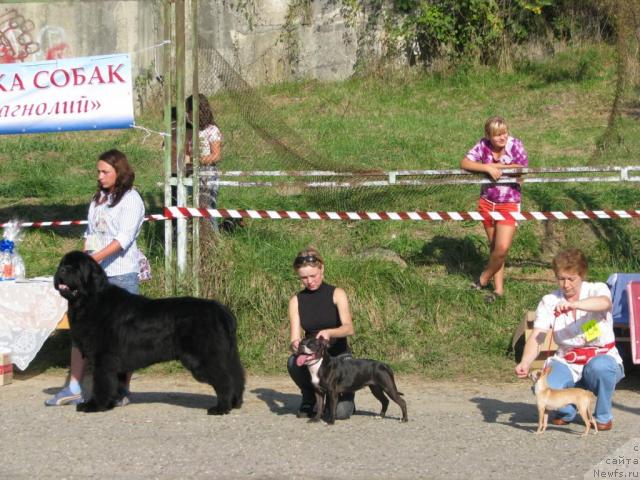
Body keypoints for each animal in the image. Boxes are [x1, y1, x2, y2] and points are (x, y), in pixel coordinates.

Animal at [54, 251, 245, 412]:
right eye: (63, 264)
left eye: (76, 268)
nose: (61, 270)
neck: (90, 300)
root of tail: (219, 309)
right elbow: (115, 384)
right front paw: (111, 403)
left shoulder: (104, 358)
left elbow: (102, 383)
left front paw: (94, 405)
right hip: (226, 355)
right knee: (237, 377)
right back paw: (235, 403)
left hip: (204, 357)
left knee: (225, 380)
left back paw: (221, 408)